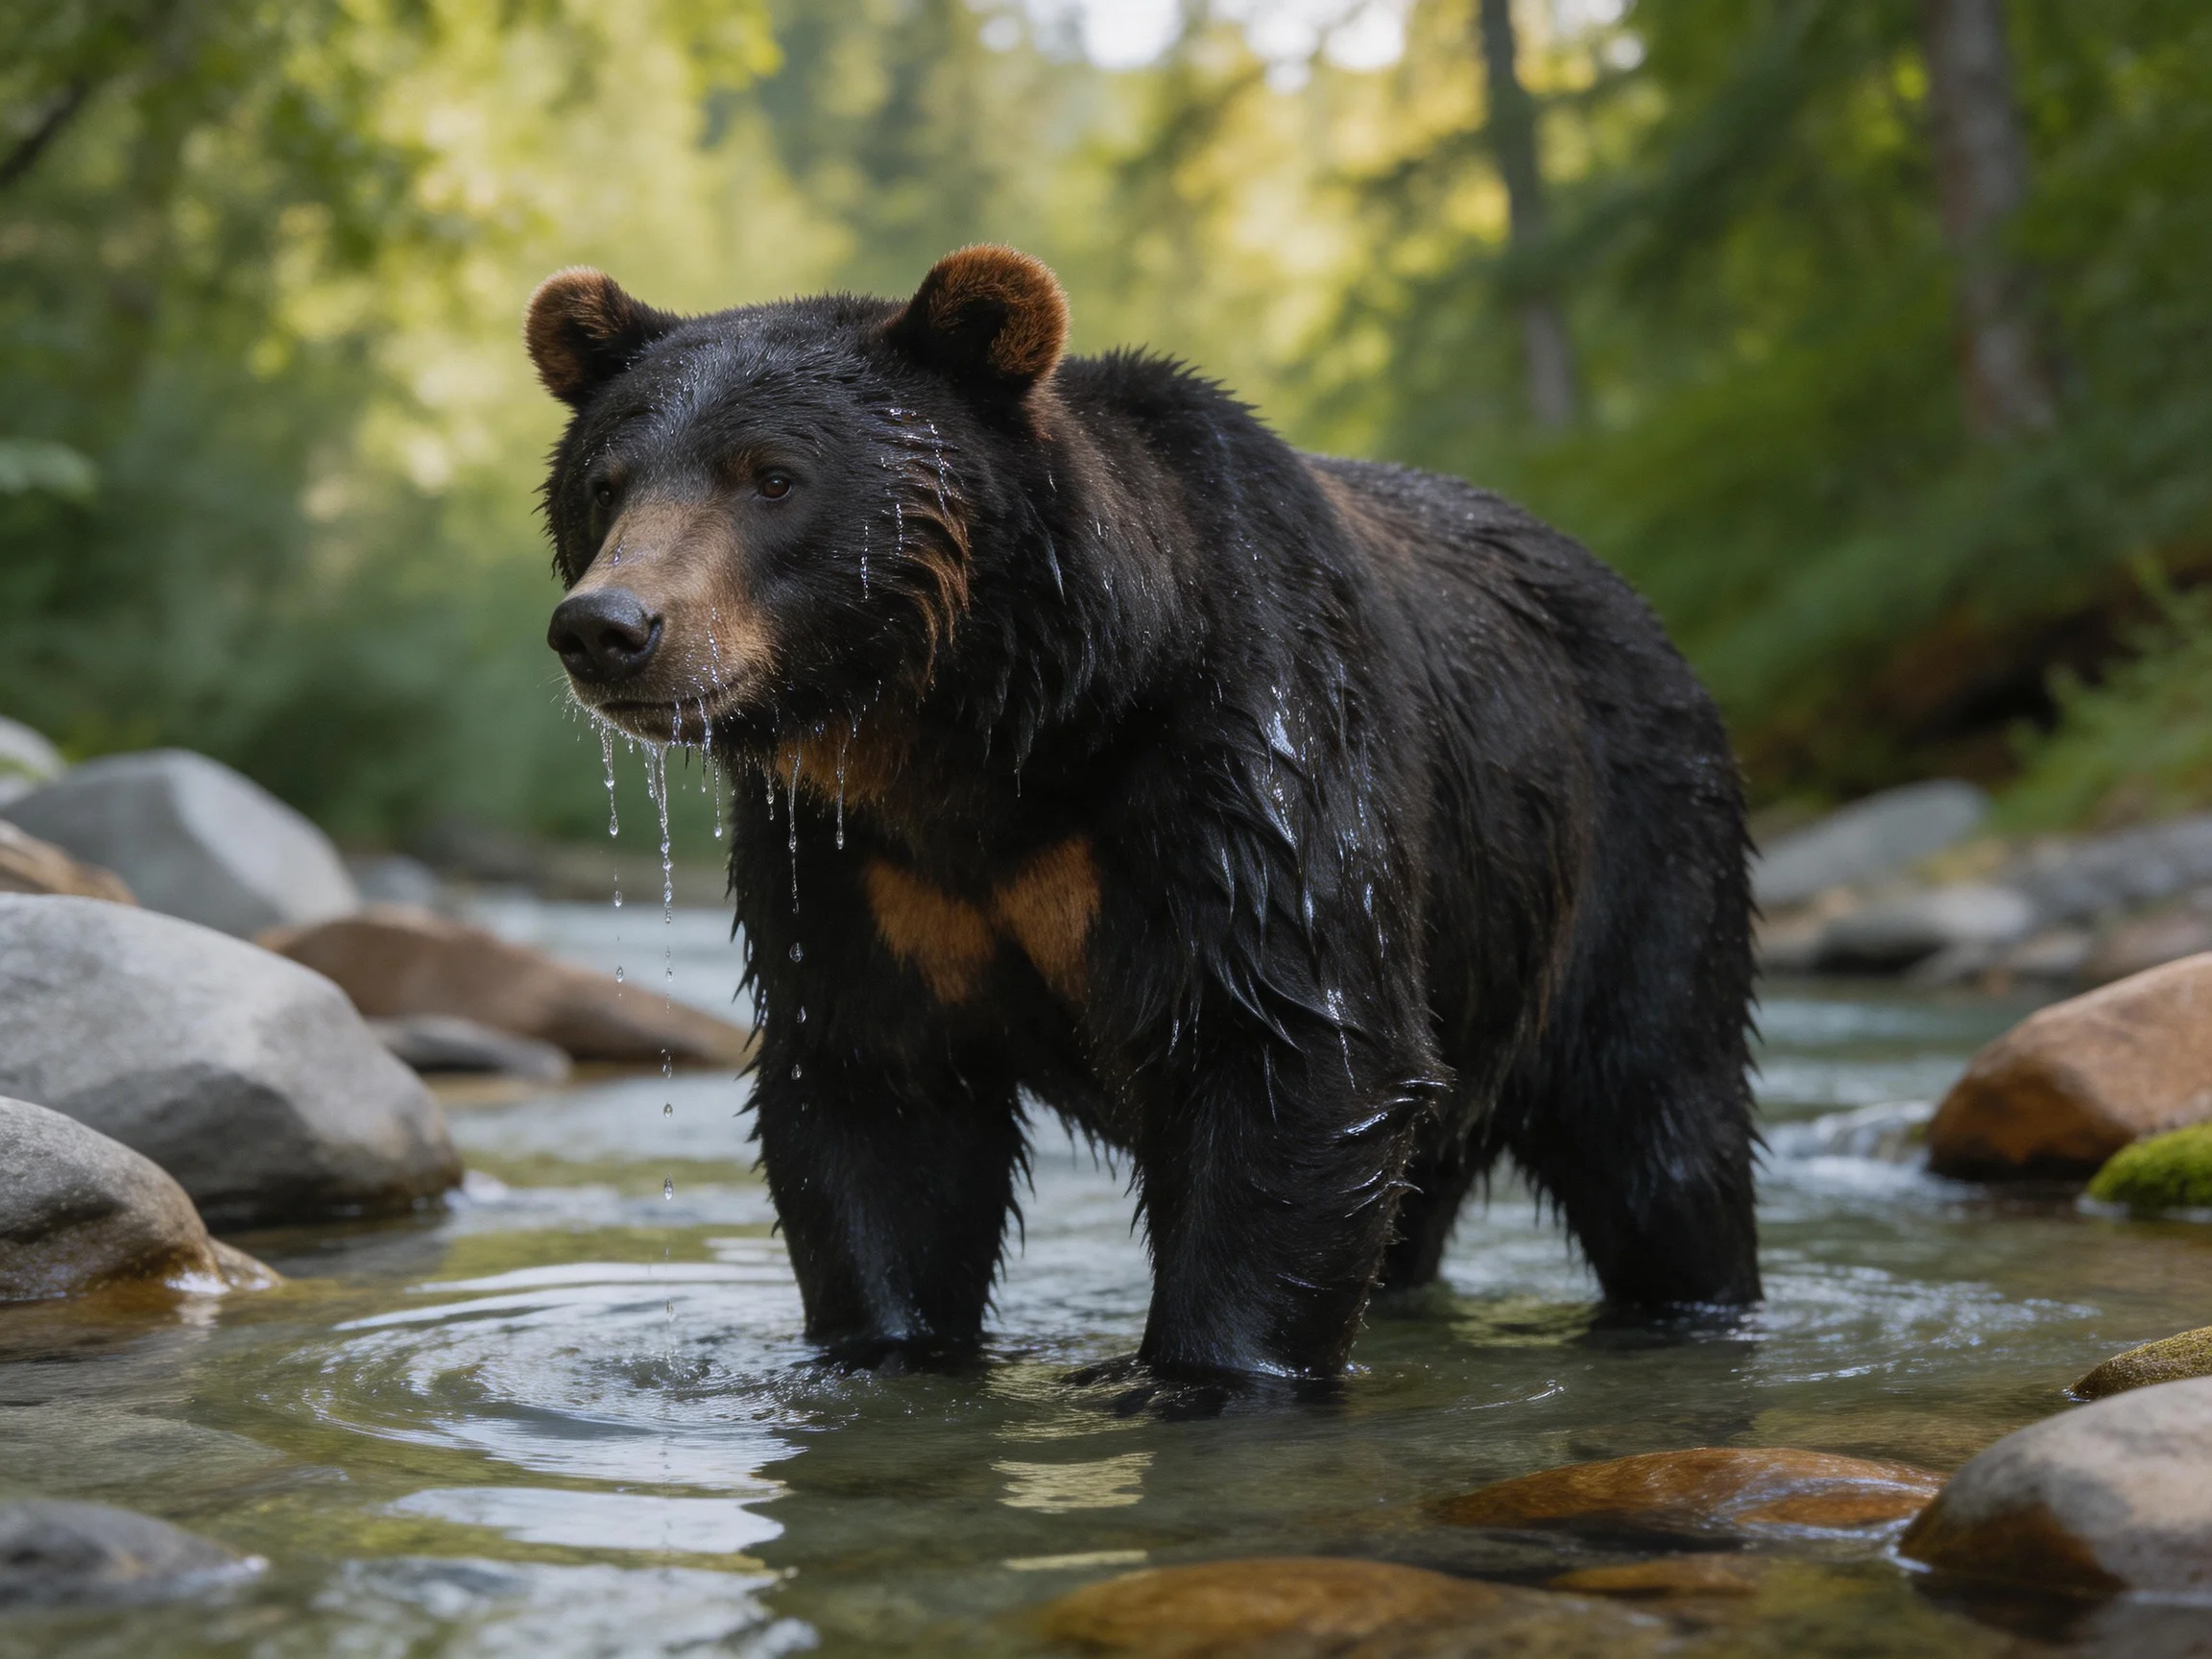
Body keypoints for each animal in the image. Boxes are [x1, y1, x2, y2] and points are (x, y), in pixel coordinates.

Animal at [527, 245, 1760, 1383]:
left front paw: (1207, 1375)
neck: (988, 735)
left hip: (1636, 853)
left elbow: (1296, 1061)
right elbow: (876, 1104)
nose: (608, 625)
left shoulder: (1247, 773)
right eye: (607, 479)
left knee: (1661, 1130)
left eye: (773, 476)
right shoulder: (853, 861)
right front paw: (889, 1347)